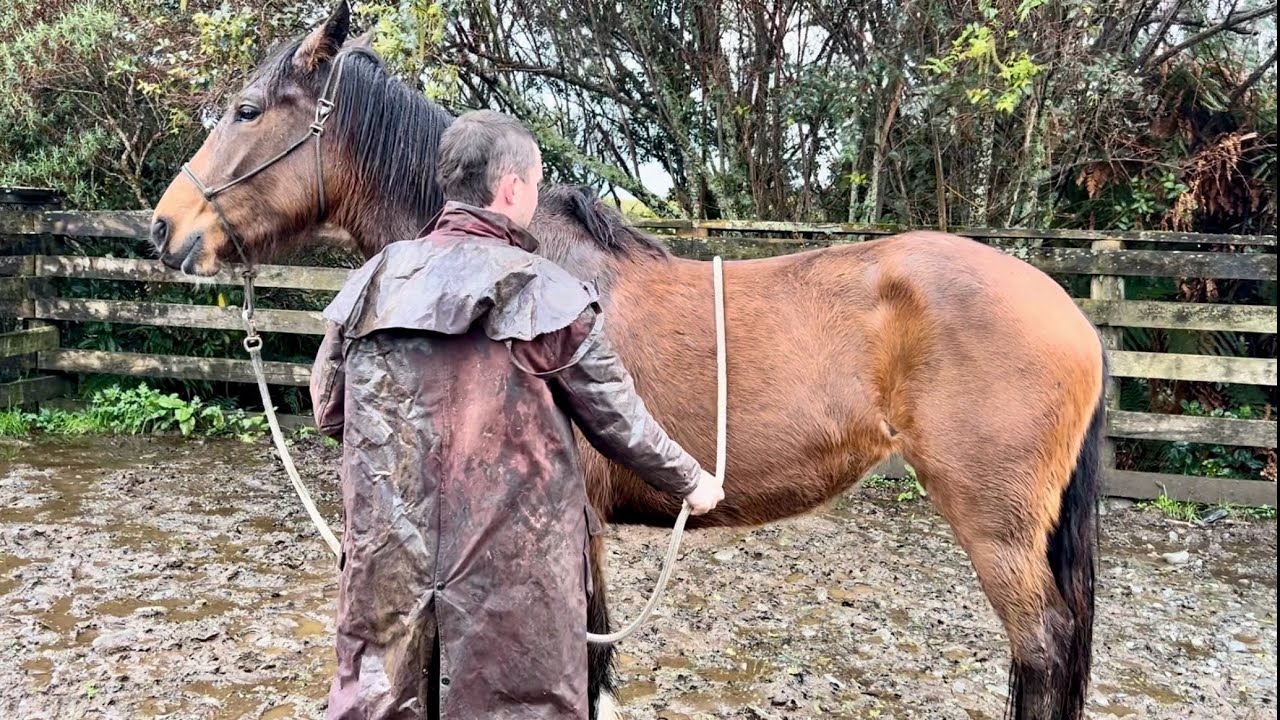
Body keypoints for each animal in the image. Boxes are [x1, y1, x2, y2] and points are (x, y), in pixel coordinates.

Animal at [148, 4, 1106, 719]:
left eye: (245, 110)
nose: (164, 227)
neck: (523, 261)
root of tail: (1076, 317)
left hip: (998, 530)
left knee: (1042, 650)